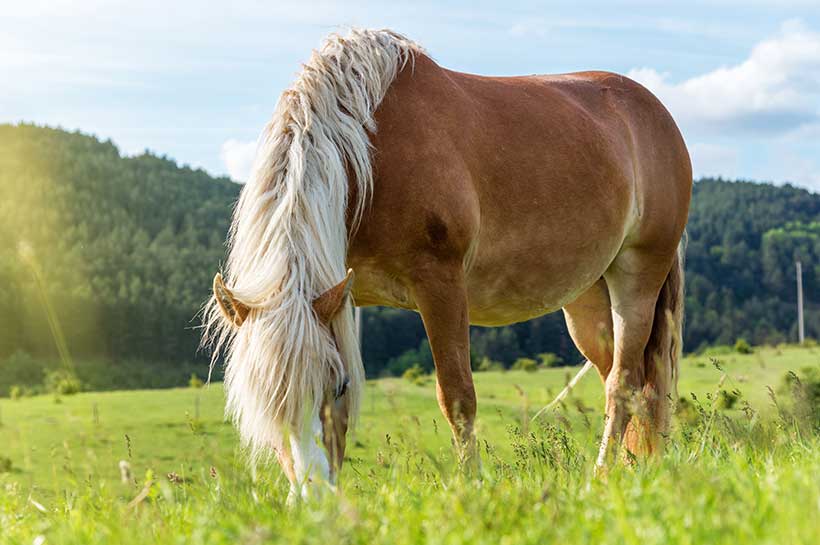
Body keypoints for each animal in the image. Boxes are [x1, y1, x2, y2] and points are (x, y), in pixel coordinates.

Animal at [205, 28, 692, 498]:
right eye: (260, 403)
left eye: (338, 386)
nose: (314, 502)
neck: (371, 153)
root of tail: (655, 112)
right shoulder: (344, 295)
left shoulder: (440, 283)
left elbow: (457, 397)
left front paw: (472, 487)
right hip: (588, 299)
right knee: (626, 381)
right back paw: (636, 469)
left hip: (638, 274)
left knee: (624, 382)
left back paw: (603, 475)